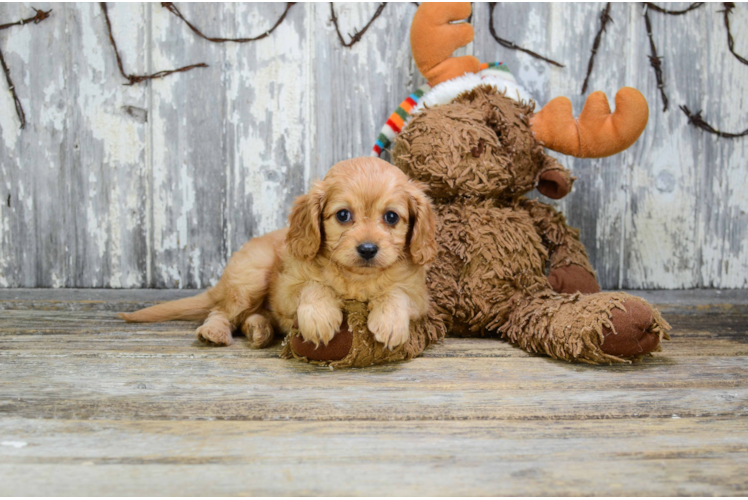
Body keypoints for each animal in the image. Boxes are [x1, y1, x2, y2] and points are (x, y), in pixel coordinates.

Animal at [118, 158, 438, 350]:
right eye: (343, 215)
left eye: (392, 217)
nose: (368, 249)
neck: (355, 278)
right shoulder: (286, 289)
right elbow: (314, 286)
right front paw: (320, 317)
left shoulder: (418, 296)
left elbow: (396, 293)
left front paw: (389, 321)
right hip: (252, 276)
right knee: (221, 311)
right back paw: (216, 332)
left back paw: (259, 330)